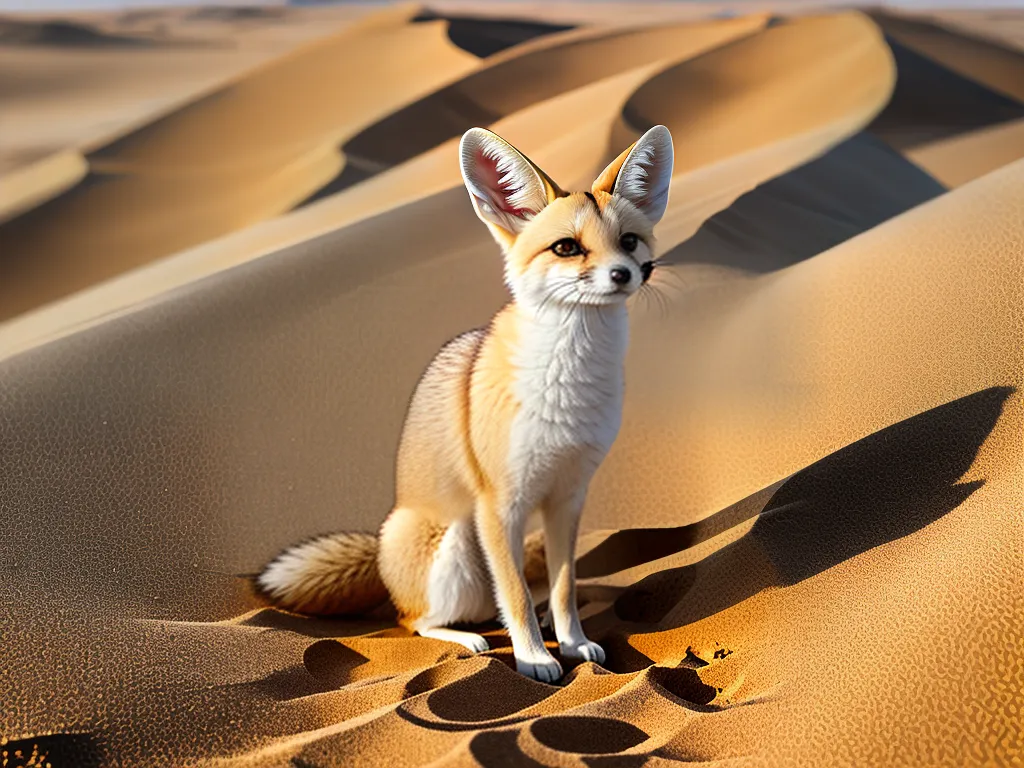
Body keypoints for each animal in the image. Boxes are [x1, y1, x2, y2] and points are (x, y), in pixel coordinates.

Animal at [257, 124, 674, 682]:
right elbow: (514, 595)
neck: (569, 383)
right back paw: (468, 640)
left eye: (628, 241)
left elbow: (564, 588)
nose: (626, 274)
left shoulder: (568, 497)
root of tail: (382, 550)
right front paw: (535, 659)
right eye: (567, 247)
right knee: (415, 619)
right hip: (456, 543)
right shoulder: (499, 502)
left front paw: (571, 642)